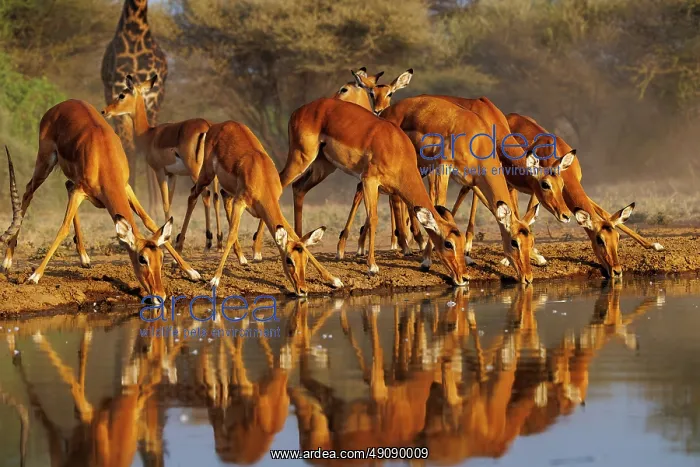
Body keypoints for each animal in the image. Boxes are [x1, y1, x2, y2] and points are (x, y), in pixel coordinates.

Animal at [0, 100, 200, 302]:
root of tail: (59, 106)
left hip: (70, 179)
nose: (160, 295)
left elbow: (149, 221)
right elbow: (63, 228)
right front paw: (34, 276)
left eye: (160, 258)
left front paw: (192, 272)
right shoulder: (81, 191)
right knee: (28, 191)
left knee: (66, 186)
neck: (103, 156)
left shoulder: (125, 187)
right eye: (142, 259)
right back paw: (7, 262)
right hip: (45, 162)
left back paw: (85, 259)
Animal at [102, 74, 224, 251]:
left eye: (122, 95)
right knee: (215, 197)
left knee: (203, 195)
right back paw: (219, 242)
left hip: (195, 171)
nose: (105, 111)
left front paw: (168, 240)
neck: (148, 135)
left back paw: (206, 241)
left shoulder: (159, 171)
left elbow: (165, 203)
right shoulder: (172, 174)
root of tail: (207, 127)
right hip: (210, 174)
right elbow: (170, 201)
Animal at [174, 120, 343, 296]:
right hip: (206, 174)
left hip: (226, 188)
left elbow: (293, 233)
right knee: (193, 195)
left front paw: (334, 280)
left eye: (306, 259)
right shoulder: (240, 202)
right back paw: (179, 251)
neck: (262, 176)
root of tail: (219, 125)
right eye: (289, 260)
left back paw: (242, 259)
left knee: (221, 195)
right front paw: (214, 280)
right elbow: (232, 235)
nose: (302, 290)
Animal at [277, 93, 469, 285]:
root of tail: (298, 111)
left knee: (298, 188)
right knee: (278, 185)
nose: (464, 277)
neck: (397, 148)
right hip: (301, 157)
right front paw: (372, 267)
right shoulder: (369, 180)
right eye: (448, 243)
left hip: (323, 166)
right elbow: (373, 219)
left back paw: (301, 243)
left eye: (461, 241)